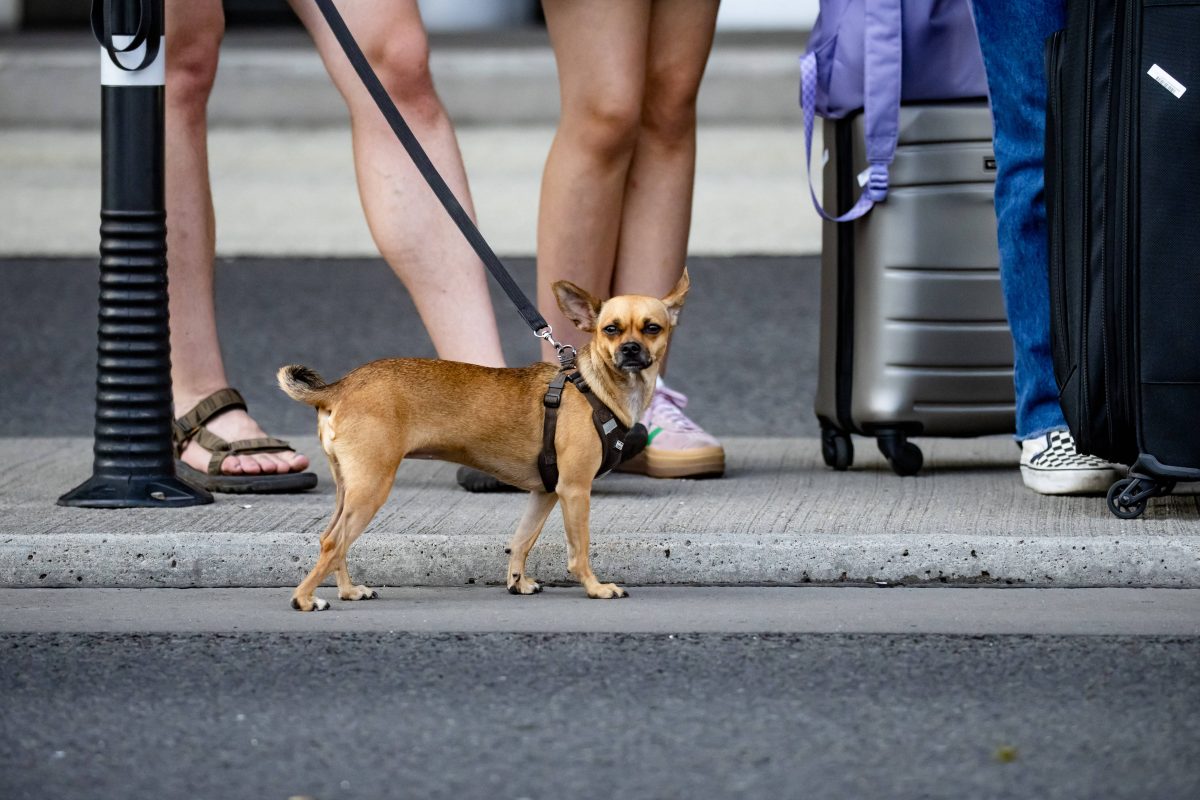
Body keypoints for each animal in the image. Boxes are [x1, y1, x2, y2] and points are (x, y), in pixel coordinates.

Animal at [277, 272, 691, 609]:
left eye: (652, 328)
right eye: (611, 330)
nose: (631, 349)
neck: (595, 386)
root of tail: (340, 387)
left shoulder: (545, 493)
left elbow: (522, 539)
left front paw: (517, 582)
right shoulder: (574, 491)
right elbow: (579, 550)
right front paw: (595, 587)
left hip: (351, 490)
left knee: (331, 541)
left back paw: (348, 591)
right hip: (371, 489)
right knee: (334, 543)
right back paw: (305, 599)